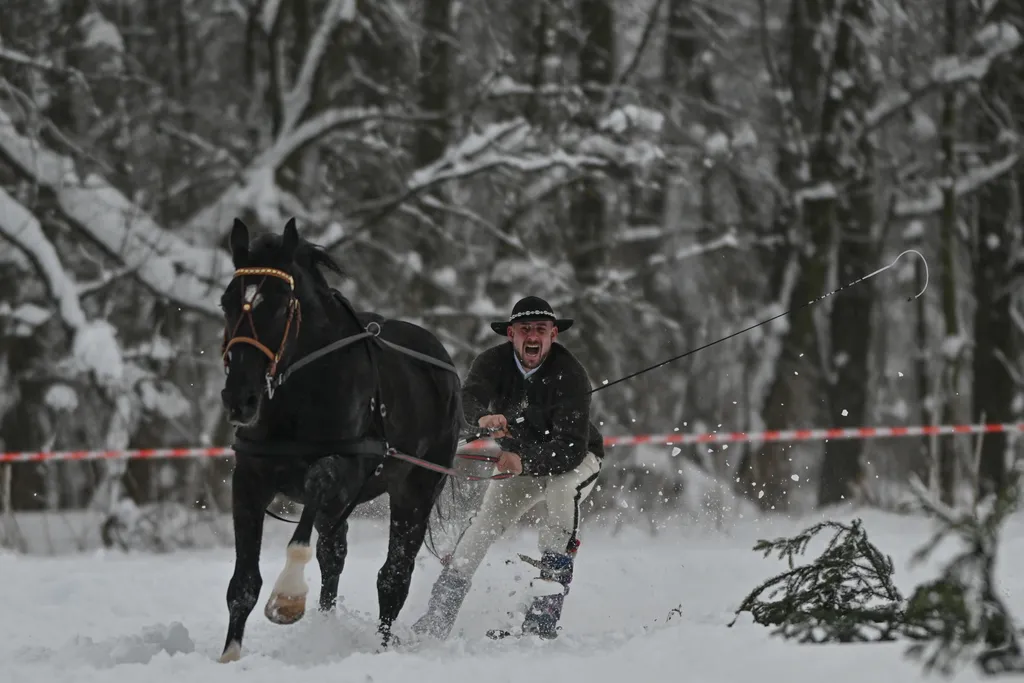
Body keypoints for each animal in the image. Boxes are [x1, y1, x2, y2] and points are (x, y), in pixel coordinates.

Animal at [218, 218, 462, 663]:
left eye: (280, 305)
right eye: (227, 302)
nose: (240, 399)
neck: (299, 394)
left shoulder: (343, 471)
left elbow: (313, 501)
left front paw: (288, 598)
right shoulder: (249, 478)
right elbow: (243, 584)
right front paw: (229, 657)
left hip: (416, 490)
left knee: (393, 577)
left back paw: (382, 648)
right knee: (334, 558)